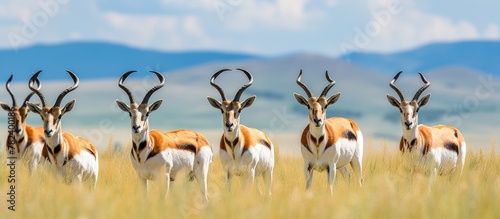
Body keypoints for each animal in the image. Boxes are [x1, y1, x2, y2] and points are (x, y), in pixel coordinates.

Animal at [116, 70, 214, 202]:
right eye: (130, 113)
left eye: (147, 113)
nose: (136, 127)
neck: (144, 153)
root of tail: (203, 139)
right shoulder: (142, 177)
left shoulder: (165, 177)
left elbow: (163, 199)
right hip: (188, 177)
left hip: (201, 173)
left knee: (205, 196)